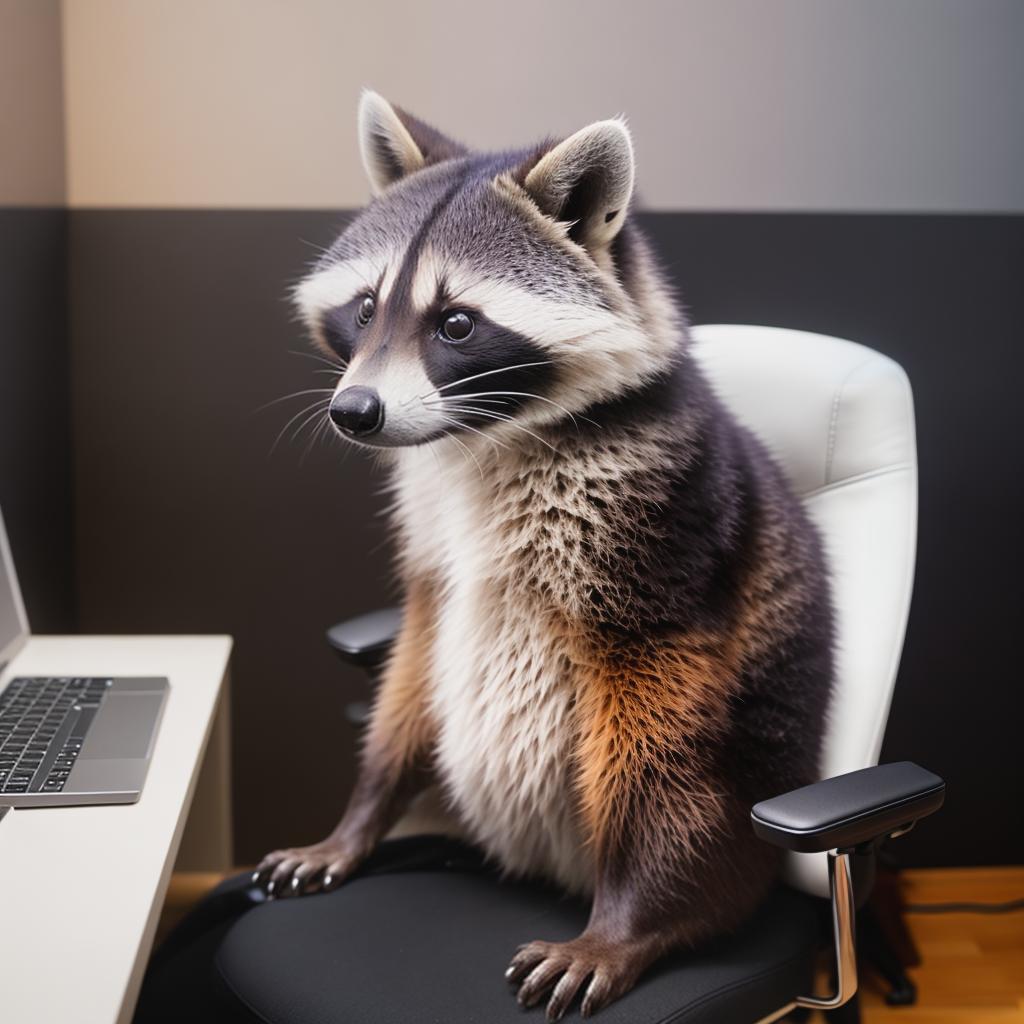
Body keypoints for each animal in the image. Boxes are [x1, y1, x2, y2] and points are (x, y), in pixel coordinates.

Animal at [256, 92, 831, 1019]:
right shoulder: (428, 532)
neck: (477, 436)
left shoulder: (660, 525)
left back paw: (671, 910)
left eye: (457, 324)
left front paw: (630, 923)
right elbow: (413, 662)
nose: (354, 412)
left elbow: (660, 726)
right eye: (366, 308)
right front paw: (361, 815)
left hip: (746, 799)